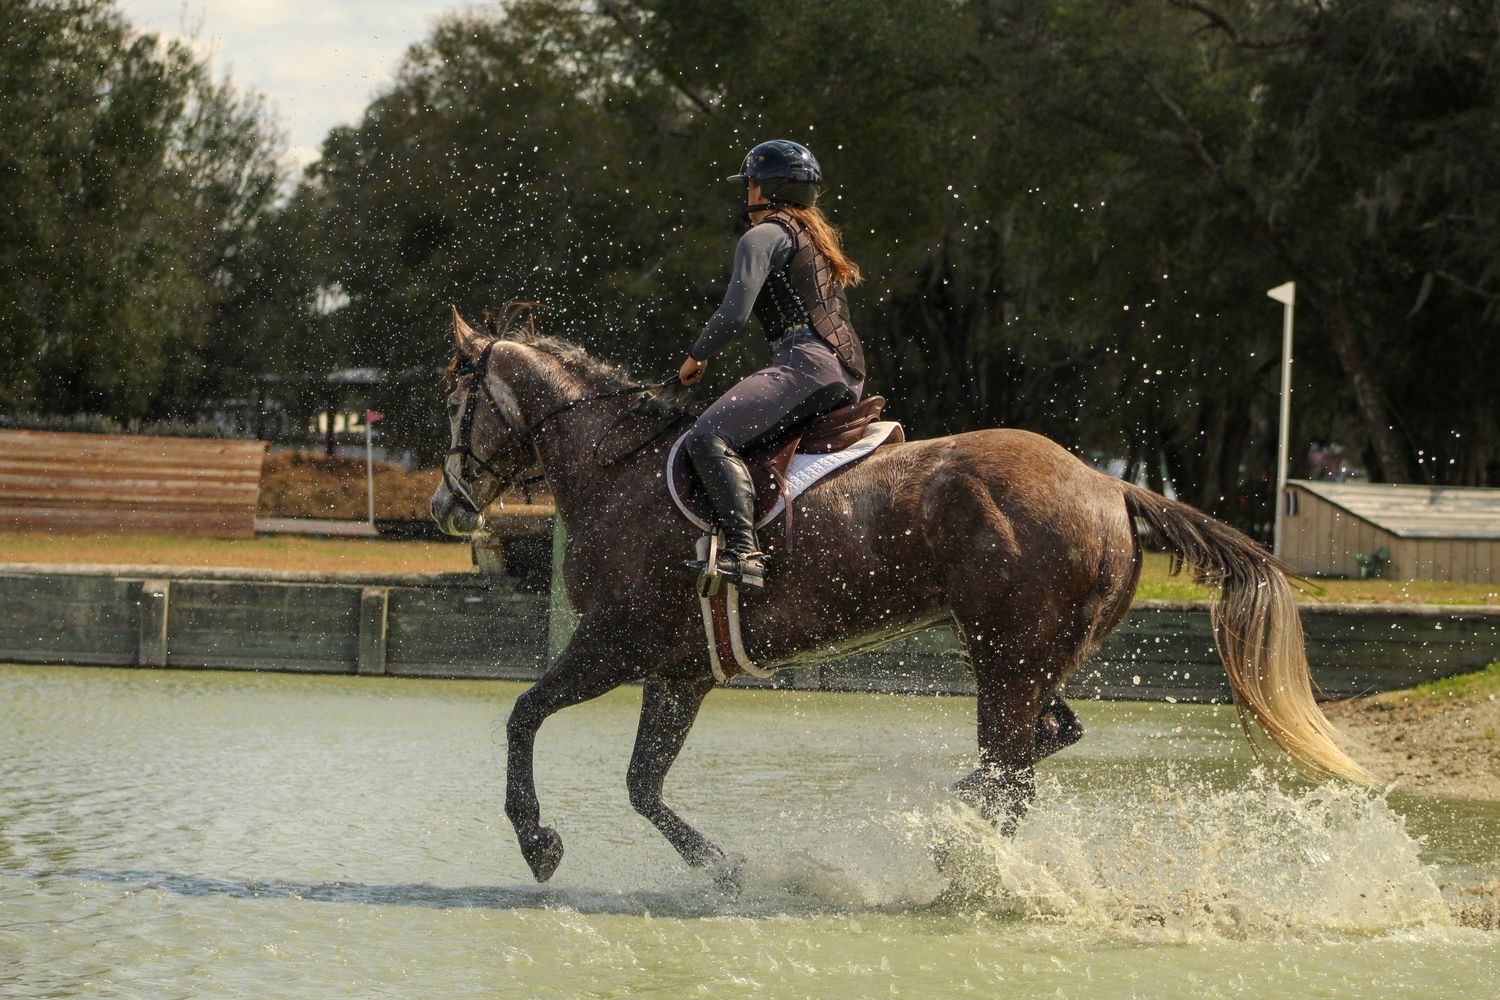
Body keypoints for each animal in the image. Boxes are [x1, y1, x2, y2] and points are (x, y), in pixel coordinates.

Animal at [430, 306, 1373, 885]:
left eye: (453, 402)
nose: (446, 506)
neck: (614, 469)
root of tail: (1111, 486)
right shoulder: (680, 672)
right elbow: (641, 786)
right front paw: (725, 871)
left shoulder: (614, 642)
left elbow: (522, 715)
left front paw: (538, 841)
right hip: (1031, 658)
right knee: (1037, 751)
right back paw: (961, 833)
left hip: (1007, 661)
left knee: (1011, 775)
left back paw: (962, 861)